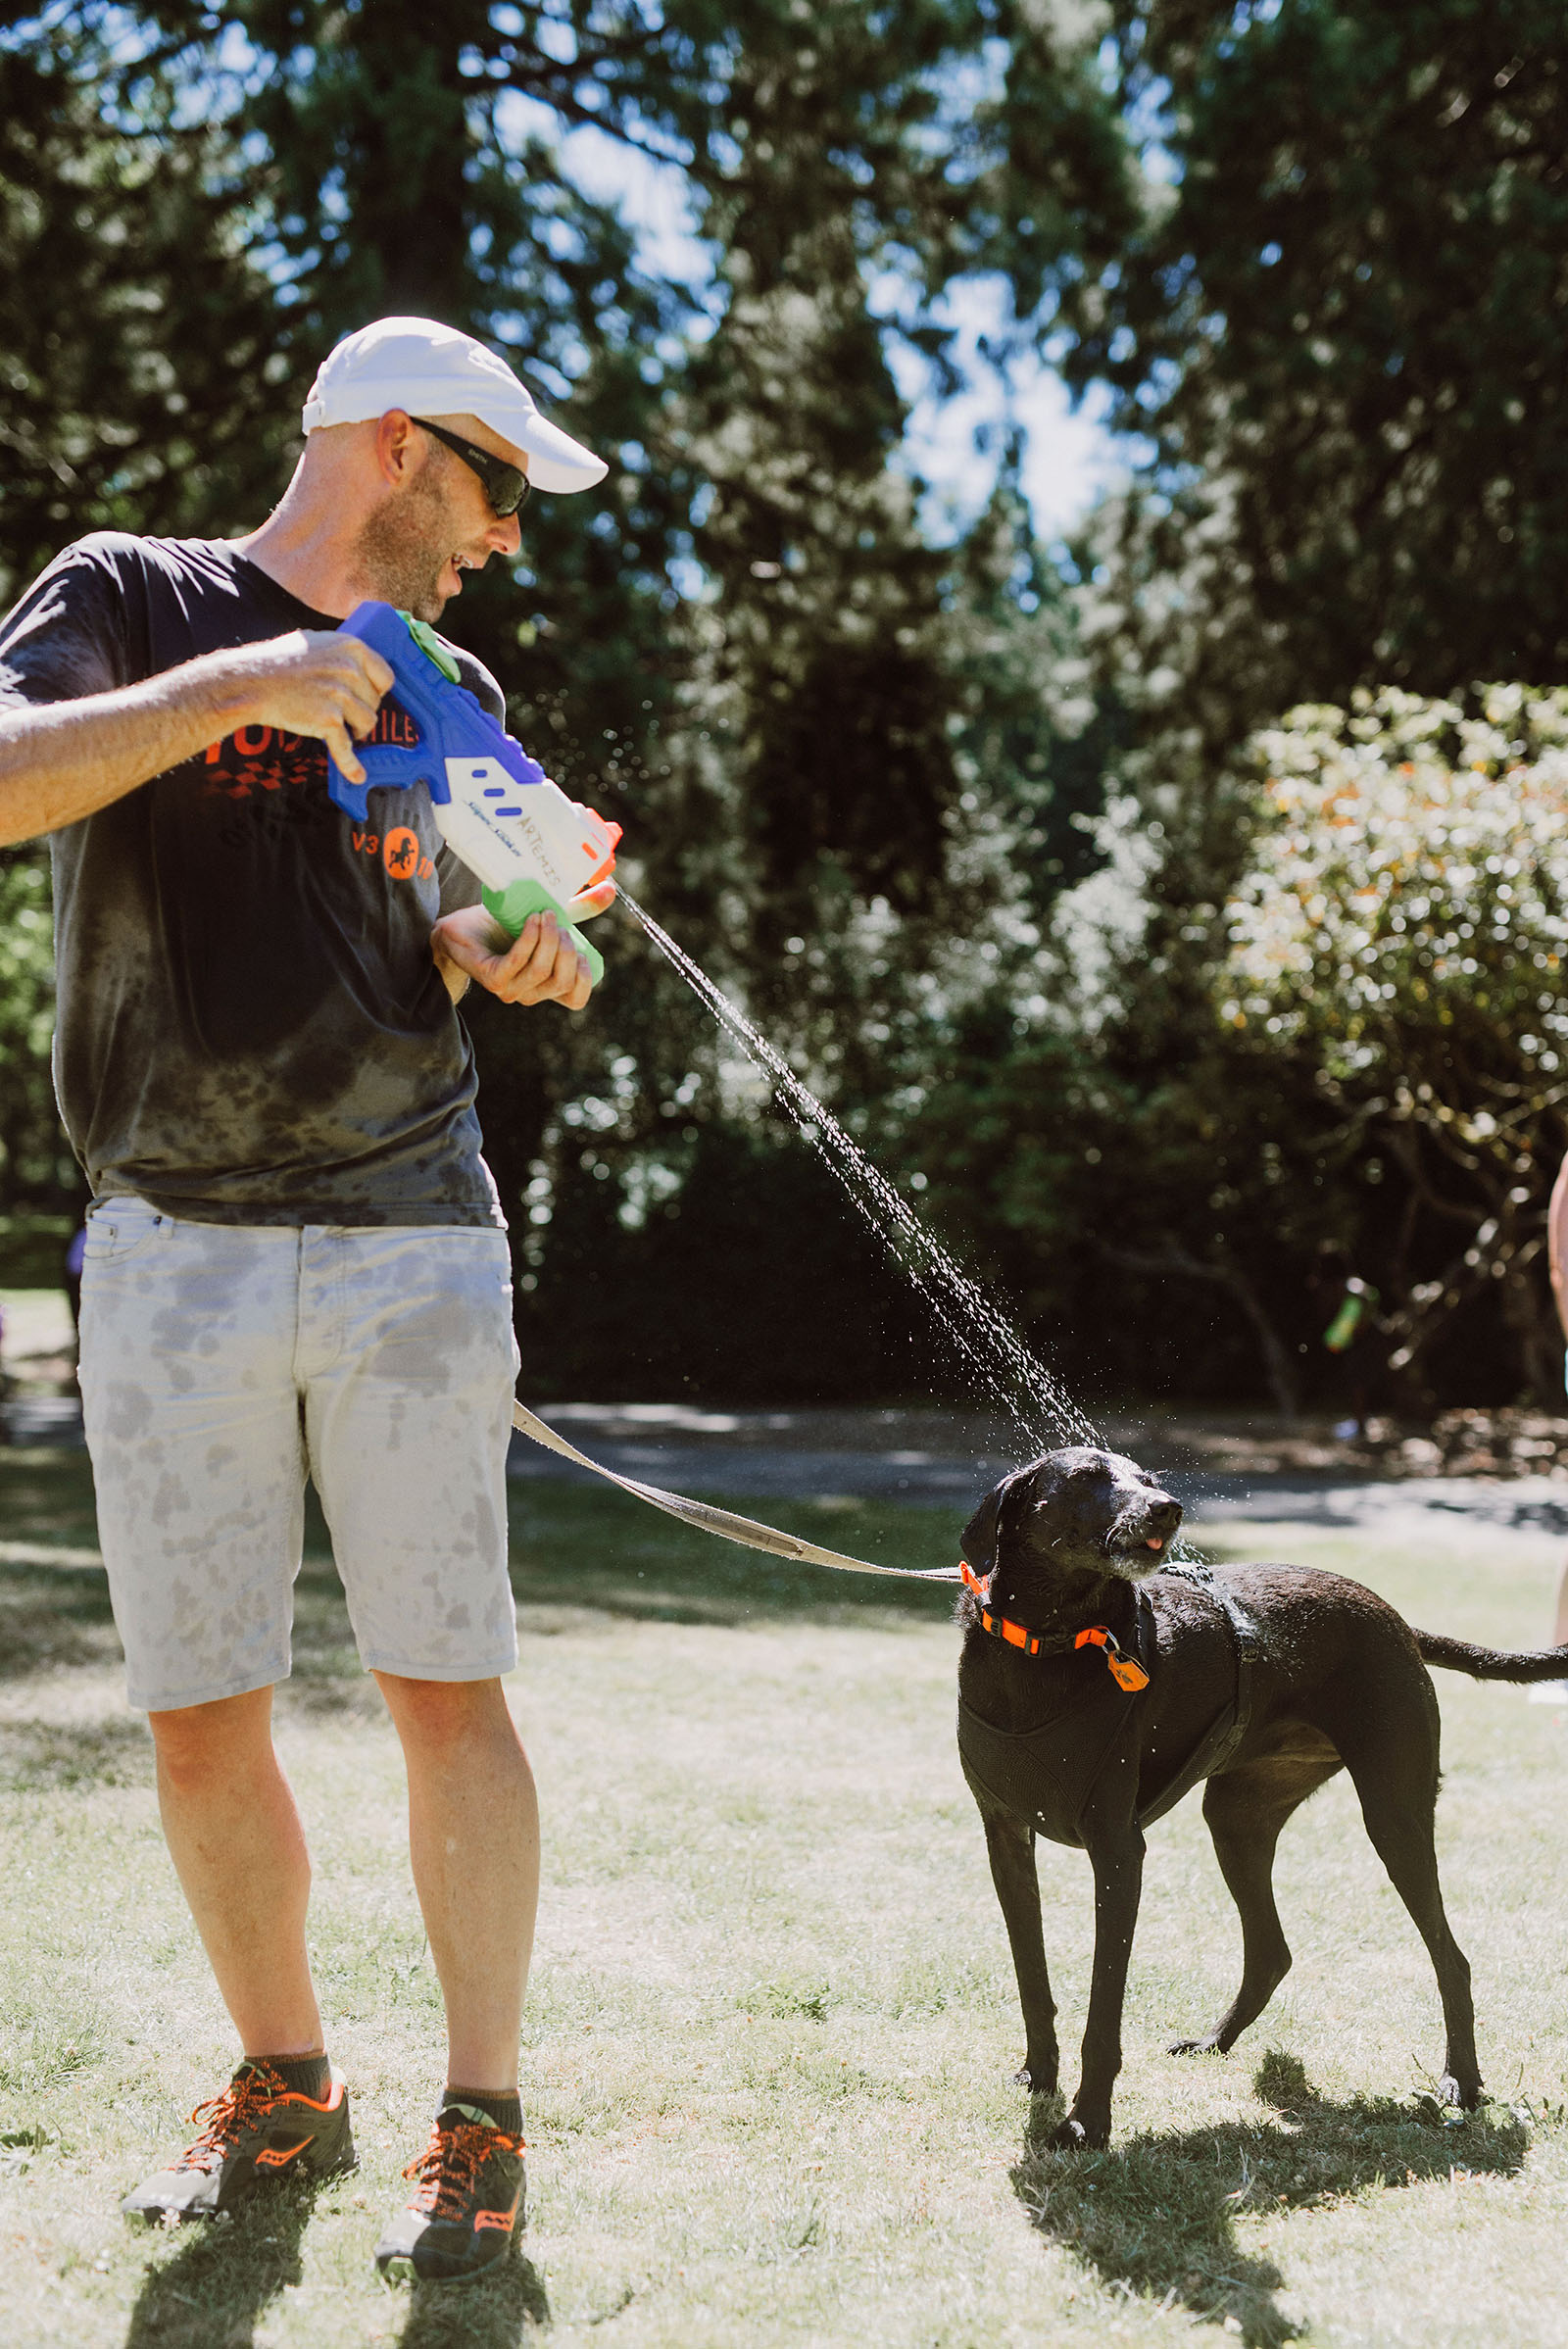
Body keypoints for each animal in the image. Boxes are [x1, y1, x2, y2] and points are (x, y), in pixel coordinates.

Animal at [957, 1428, 1568, 2151]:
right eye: (1085, 1476)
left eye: (1148, 1477)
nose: (1168, 1508)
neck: (1049, 1642)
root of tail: (1396, 1619)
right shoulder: (1005, 1839)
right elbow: (1033, 1977)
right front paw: (1039, 2077)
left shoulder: (1118, 1853)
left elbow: (1102, 2010)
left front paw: (1086, 2123)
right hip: (1236, 1818)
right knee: (1273, 1950)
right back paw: (1215, 2041)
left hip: (1394, 1814)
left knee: (1453, 1958)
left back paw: (1462, 2083)